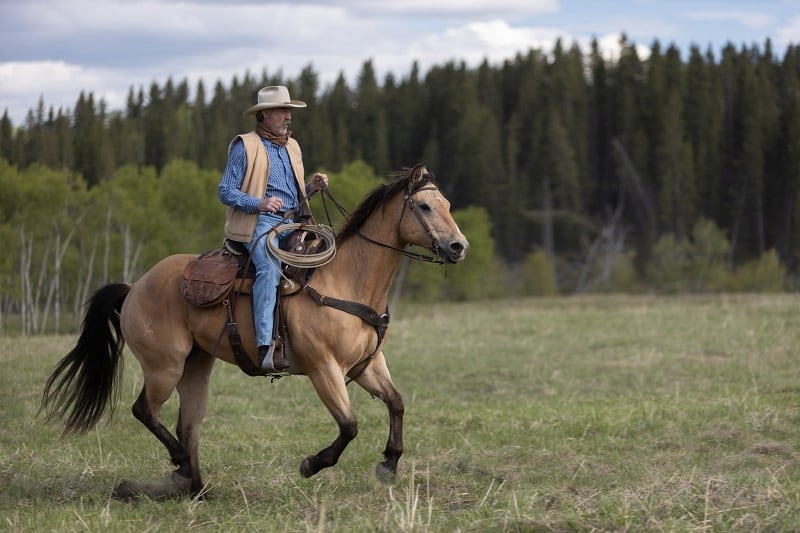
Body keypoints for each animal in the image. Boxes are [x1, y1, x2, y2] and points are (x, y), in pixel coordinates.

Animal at [39, 163, 468, 498]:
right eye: (424, 206)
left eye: (447, 205)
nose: (458, 246)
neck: (346, 281)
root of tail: (134, 287)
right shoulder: (323, 368)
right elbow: (349, 425)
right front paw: (311, 464)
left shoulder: (367, 364)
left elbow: (396, 402)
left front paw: (389, 463)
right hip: (164, 365)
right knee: (145, 410)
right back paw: (179, 467)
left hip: (197, 365)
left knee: (187, 424)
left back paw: (194, 486)